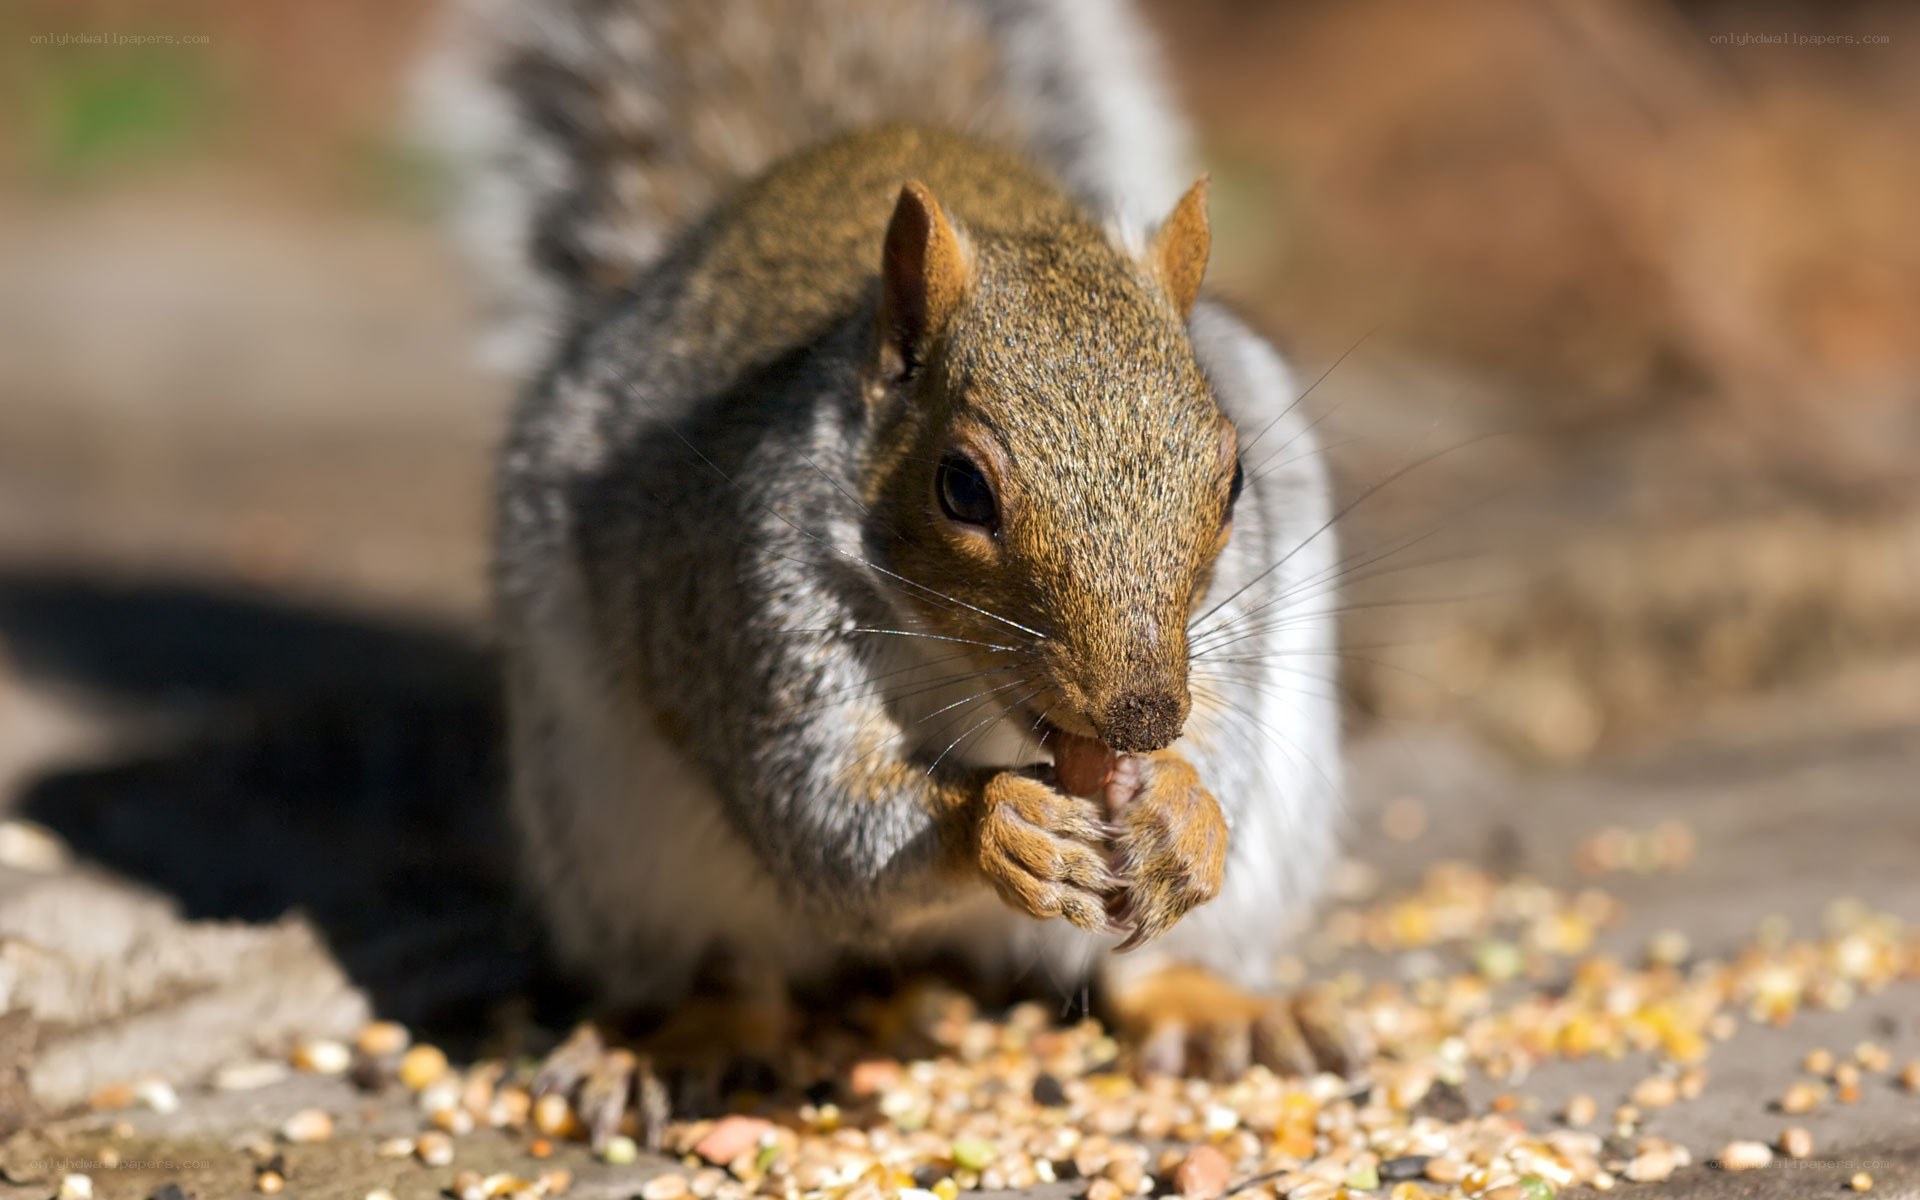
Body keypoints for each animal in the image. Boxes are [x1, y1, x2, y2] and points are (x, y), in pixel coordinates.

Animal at [423, 0, 1355, 1134]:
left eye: (1233, 479)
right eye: (961, 489)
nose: (1139, 719)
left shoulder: (1230, 628)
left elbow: (1221, 733)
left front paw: (1182, 812)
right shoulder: (749, 605)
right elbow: (826, 812)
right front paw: (1001, 825)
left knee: (1154, 968)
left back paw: (1217, 1007)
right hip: (614, 834)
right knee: (726, 962)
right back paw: (684, 1040)